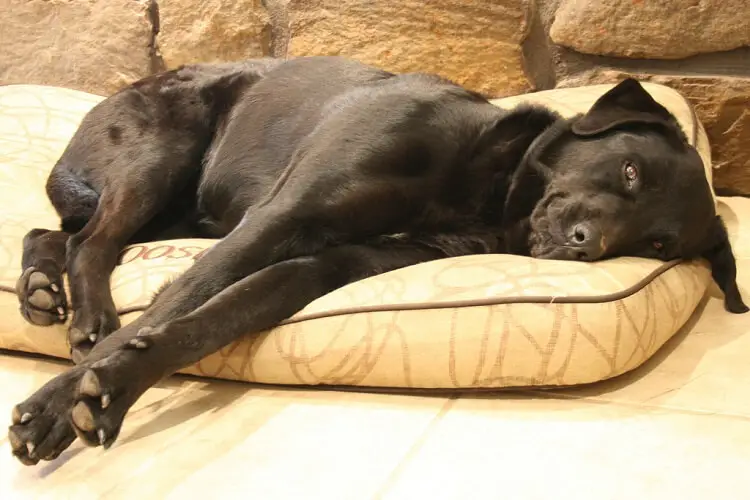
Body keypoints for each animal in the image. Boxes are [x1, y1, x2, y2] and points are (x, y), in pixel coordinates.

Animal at [8, 55, 748, 464]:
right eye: (630, 172)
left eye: (657, 244)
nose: (586, 244)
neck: (486, 188)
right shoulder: (280, 216)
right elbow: (179, 300)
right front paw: (58, 403)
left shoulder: (318, 267)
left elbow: (208, 320)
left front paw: (103, 392)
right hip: (160, 156)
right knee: (94, 240)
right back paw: (85, 319)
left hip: (179, 210)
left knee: (57, 234)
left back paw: (42, 290)